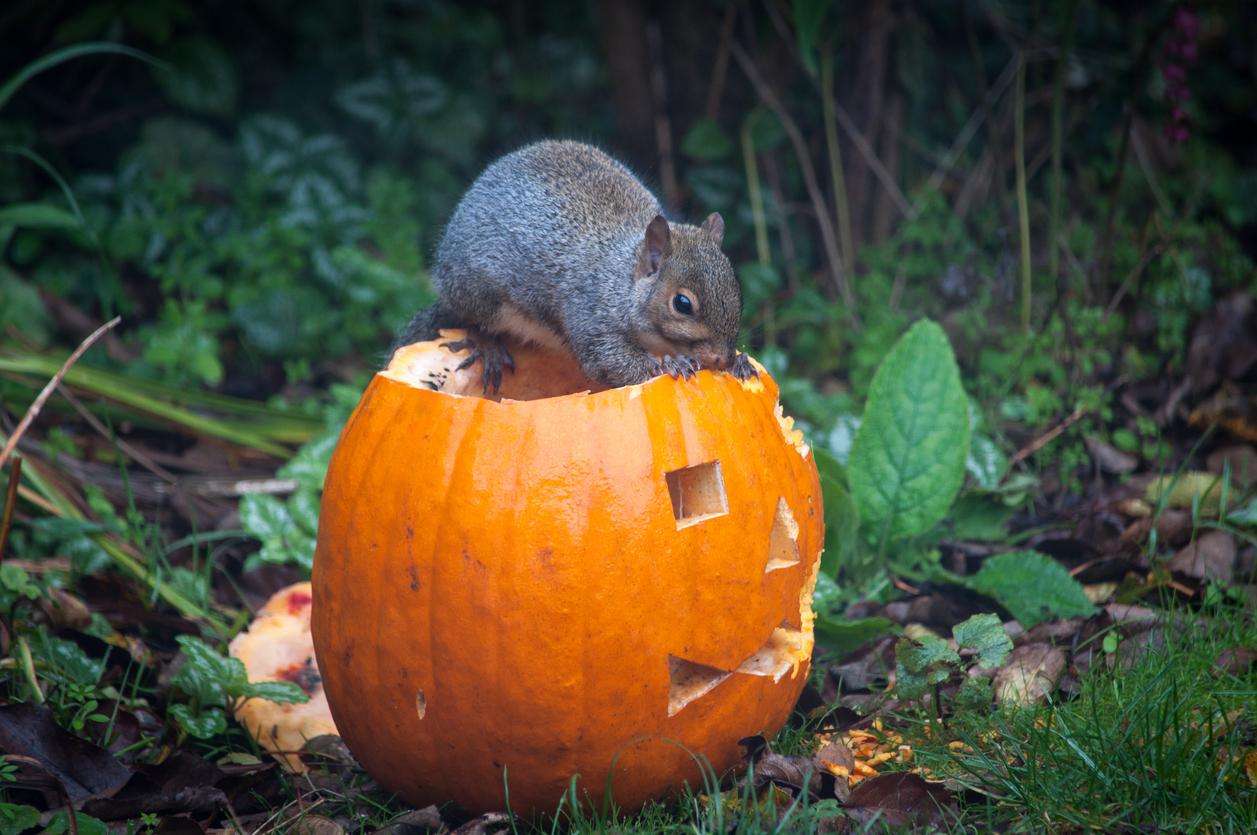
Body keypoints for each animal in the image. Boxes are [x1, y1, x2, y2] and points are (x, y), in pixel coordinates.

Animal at [389, 139, 754, 392]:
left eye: (737, 288)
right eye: (682, 304)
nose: (722, 358)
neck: (622, 279)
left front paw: (740, 365)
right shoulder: (590, 315)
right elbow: (609, 361)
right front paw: (669, 366)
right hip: (479, 293)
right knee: (471, 320)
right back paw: (486, 344)